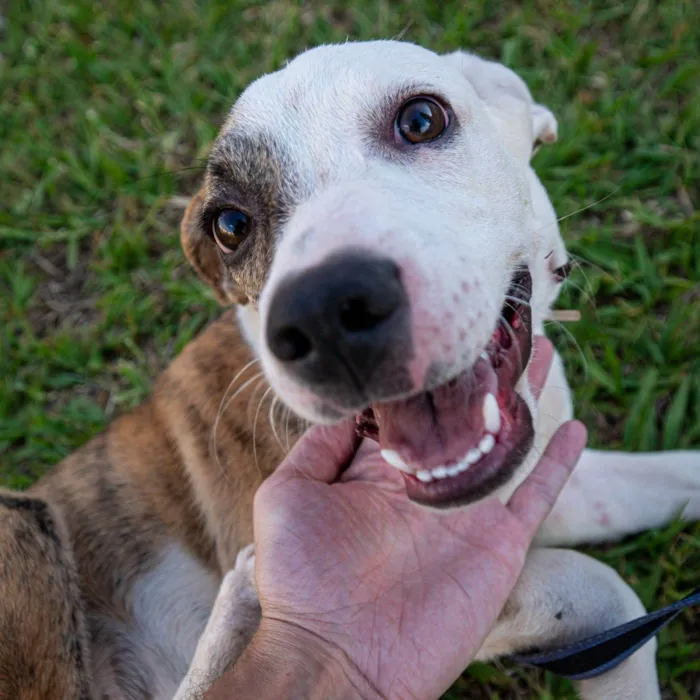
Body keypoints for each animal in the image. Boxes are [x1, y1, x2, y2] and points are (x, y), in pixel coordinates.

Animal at [1, 39, 700, 700]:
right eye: (230, 225)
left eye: (421, 119)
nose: (325, 314)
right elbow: (601, 583)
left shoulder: (547, 473)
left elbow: (654, 483)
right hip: (24, 526)